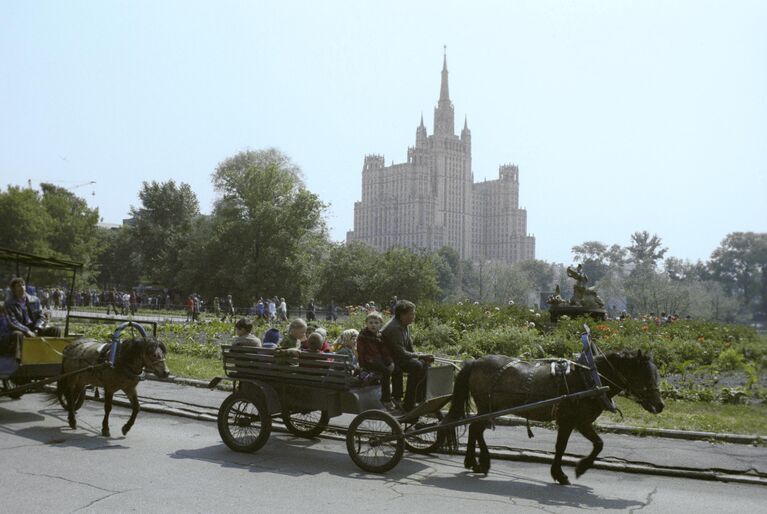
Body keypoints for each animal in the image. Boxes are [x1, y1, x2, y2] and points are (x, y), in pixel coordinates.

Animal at [444, 346, 664, 482]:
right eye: (645, 376)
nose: (660, 405)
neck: (590, 379)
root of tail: (475, 362)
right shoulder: (569, 421)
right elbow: (561, 446)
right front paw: (563, 473)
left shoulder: (582, 422)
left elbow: (598, 444)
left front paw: (579, 467)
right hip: (488, 408)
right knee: (476, 428)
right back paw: (482, 463)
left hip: (488, 409)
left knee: (474, 429)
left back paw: (473, 462)